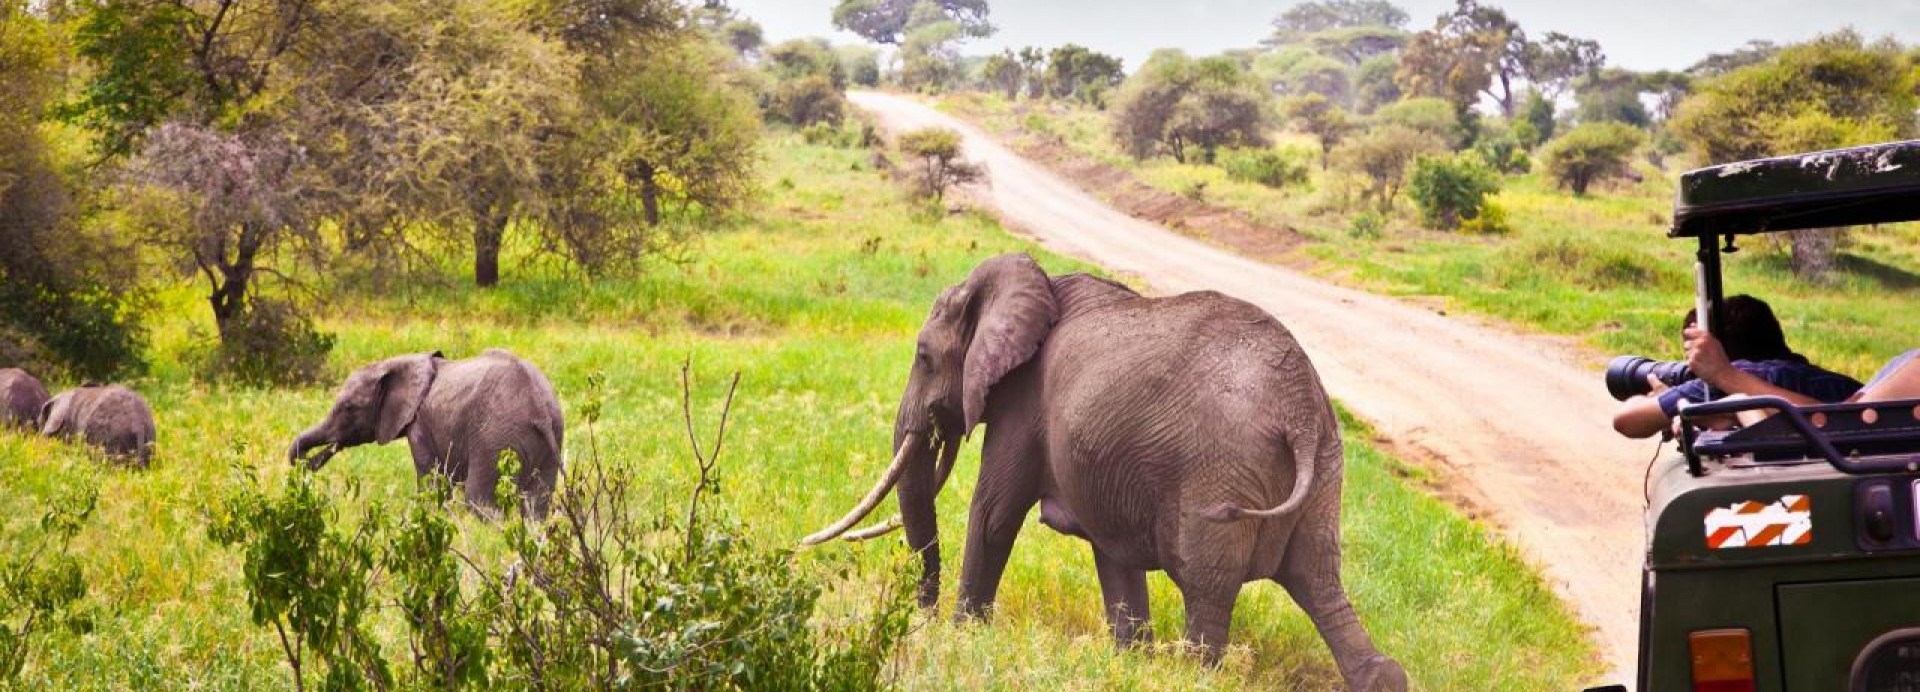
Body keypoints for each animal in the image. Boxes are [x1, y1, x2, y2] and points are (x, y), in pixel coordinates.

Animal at [288, 351, 564, 519]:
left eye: (348, 408)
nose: (305, 464)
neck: (401, 361)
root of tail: (540, 411)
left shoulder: (420, 426)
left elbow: (432, 481)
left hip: (496, 438)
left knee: (479, 500)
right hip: (548, 438)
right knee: (537, 506)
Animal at [802, 253, 1405, 692]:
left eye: (924, 357)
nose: (919, 615)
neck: (1032, 284)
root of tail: (1298, 406)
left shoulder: (1025, 403)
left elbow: (993, 513)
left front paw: (961, 638)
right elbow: (1112, 555)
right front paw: (1130, 661)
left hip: (1222, 471)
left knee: (1210, 584)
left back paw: (1190, 676)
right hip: (1325, 467)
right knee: (1318, 578)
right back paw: (1383, 677)